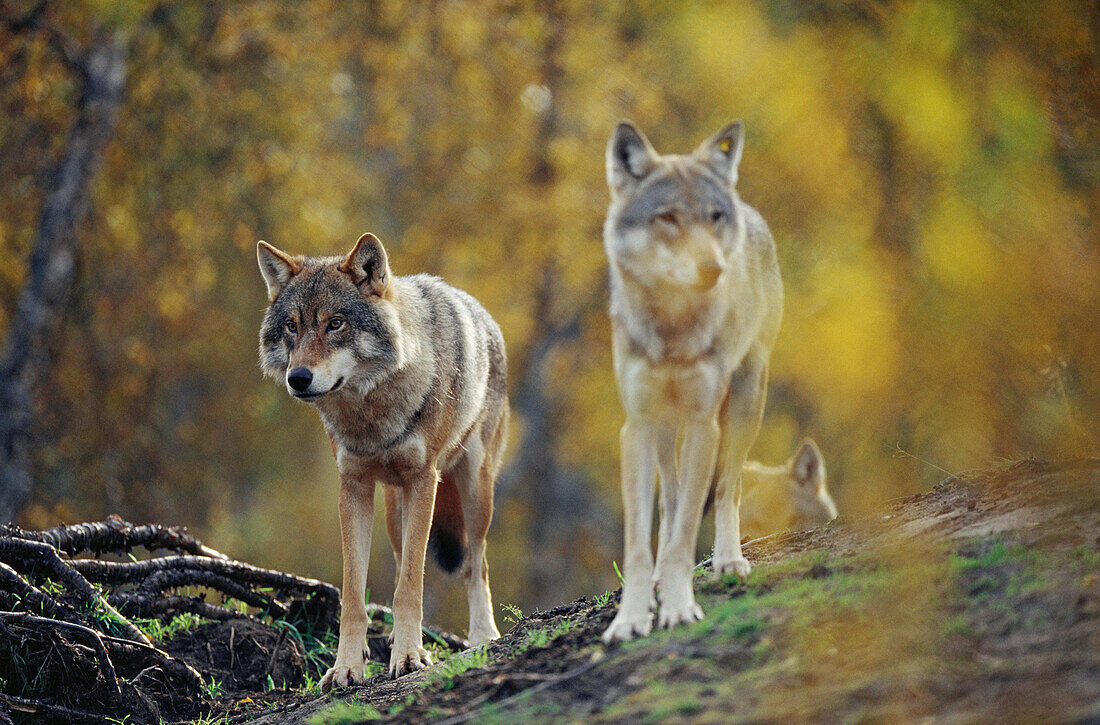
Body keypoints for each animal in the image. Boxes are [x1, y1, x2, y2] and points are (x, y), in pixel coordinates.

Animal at [256, 232, 506, 686]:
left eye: (335, 323)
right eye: (292, 327)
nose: (298, 378)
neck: (371, 413)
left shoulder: (423, 480)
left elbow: (410, 585)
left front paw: (409, 657)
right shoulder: (353, 487)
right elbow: (356, 594)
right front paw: (347, 667)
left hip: (475, 492)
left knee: (475, 562)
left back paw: (482, 636)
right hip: (394, 509)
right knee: (404, 556)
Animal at [602, 122, 783, 642]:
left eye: (713, 217)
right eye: (667, 218)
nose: (713, 269)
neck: (672, 330)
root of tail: (751, 209)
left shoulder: (705, 423)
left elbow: (688, 531)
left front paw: (679, 607)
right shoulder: (637, 426)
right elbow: (641, 541)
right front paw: (631, 618)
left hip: (745, 402)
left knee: (726, 490)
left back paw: (728, 560)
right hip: (666, 429)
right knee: (673, 497)